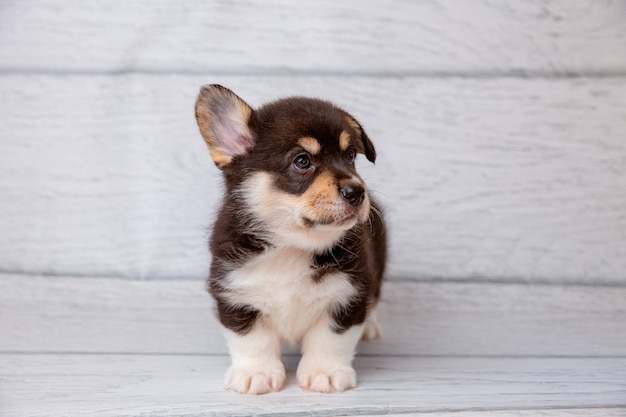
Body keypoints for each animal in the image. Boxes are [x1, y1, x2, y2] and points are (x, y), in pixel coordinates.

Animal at [194, 84, 386, 394]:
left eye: (351, 156)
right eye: (302, 161)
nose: (357, 192)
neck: (292, 245)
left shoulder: (347, 296)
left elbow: (331, 340)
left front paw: (326, 373)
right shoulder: (235, 295)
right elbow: (252, 341)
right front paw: (255, 374)